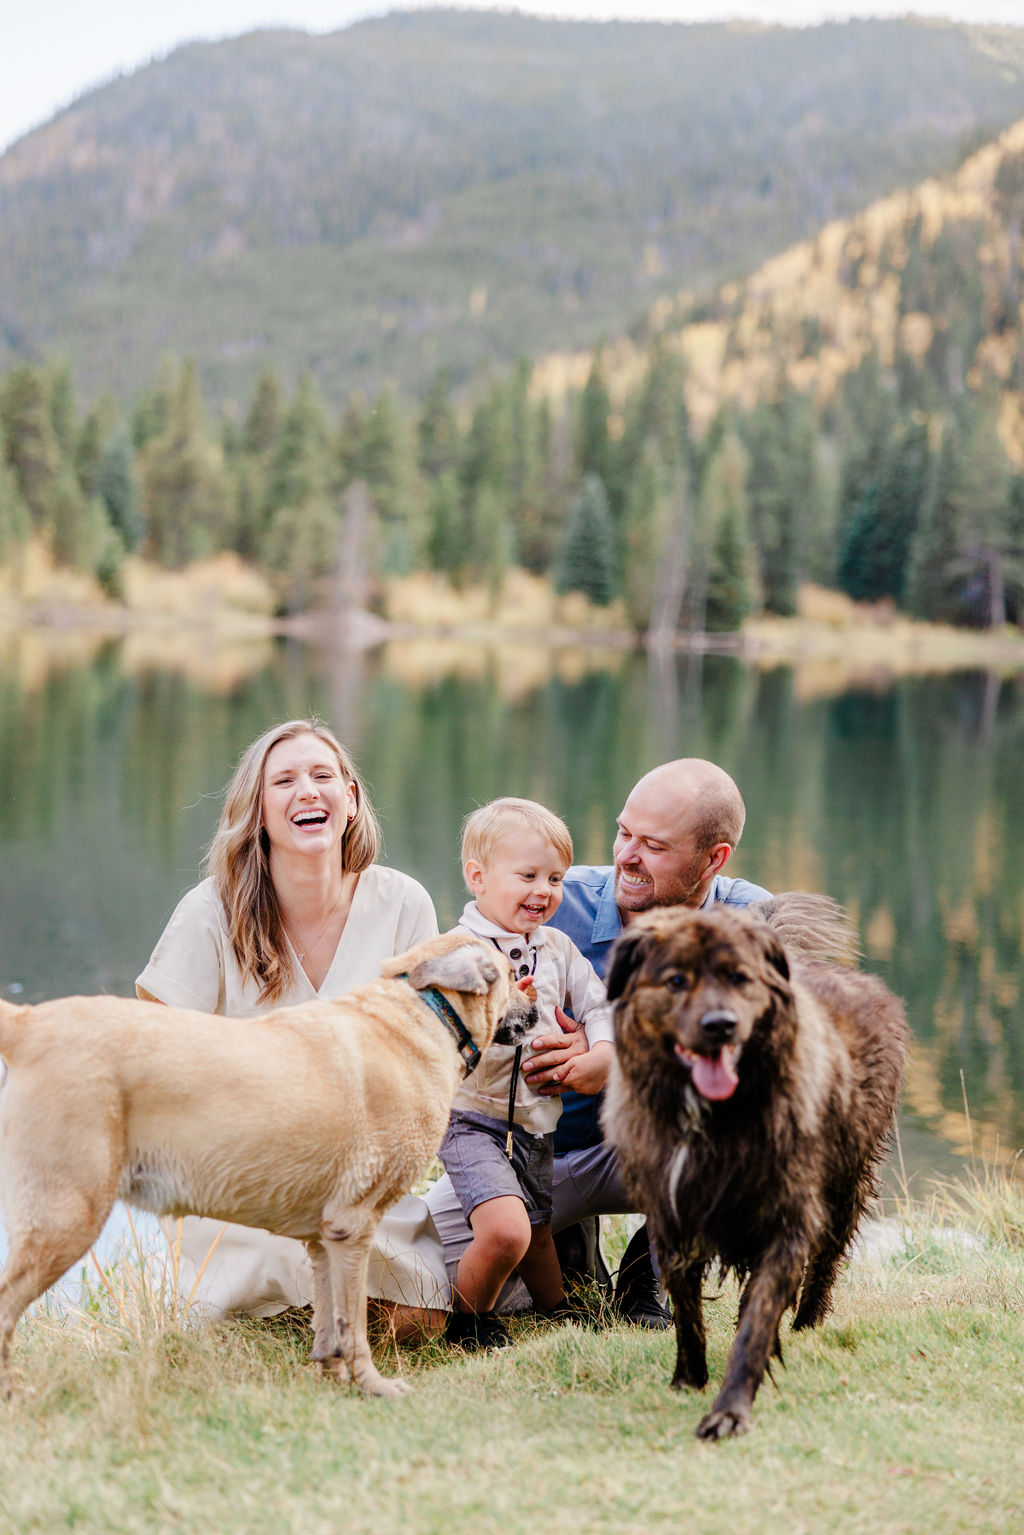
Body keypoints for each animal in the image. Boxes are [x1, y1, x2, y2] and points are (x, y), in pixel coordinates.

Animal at [0, 927, 540, 1399]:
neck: (423, 1012)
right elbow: (353, 1325)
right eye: (509, 973)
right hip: (67, 1215)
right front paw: (373, 1386)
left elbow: (329, 1320)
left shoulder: (325, 1238)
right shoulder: (355, 1226)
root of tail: (30, 1022)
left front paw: (330, 1378)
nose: (537, 1008)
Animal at [604, 896, 908, 1436]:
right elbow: (687, 1312)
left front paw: (730, 1409)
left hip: (846, 1179)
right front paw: (689, 1379)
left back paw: (808, 1321)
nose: (720, 1024)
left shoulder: (785, 1220)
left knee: (826, 1260)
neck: (714, 1116)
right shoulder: (674, 1214)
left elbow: (756, 1324)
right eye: (676, 980)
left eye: (739, 977)